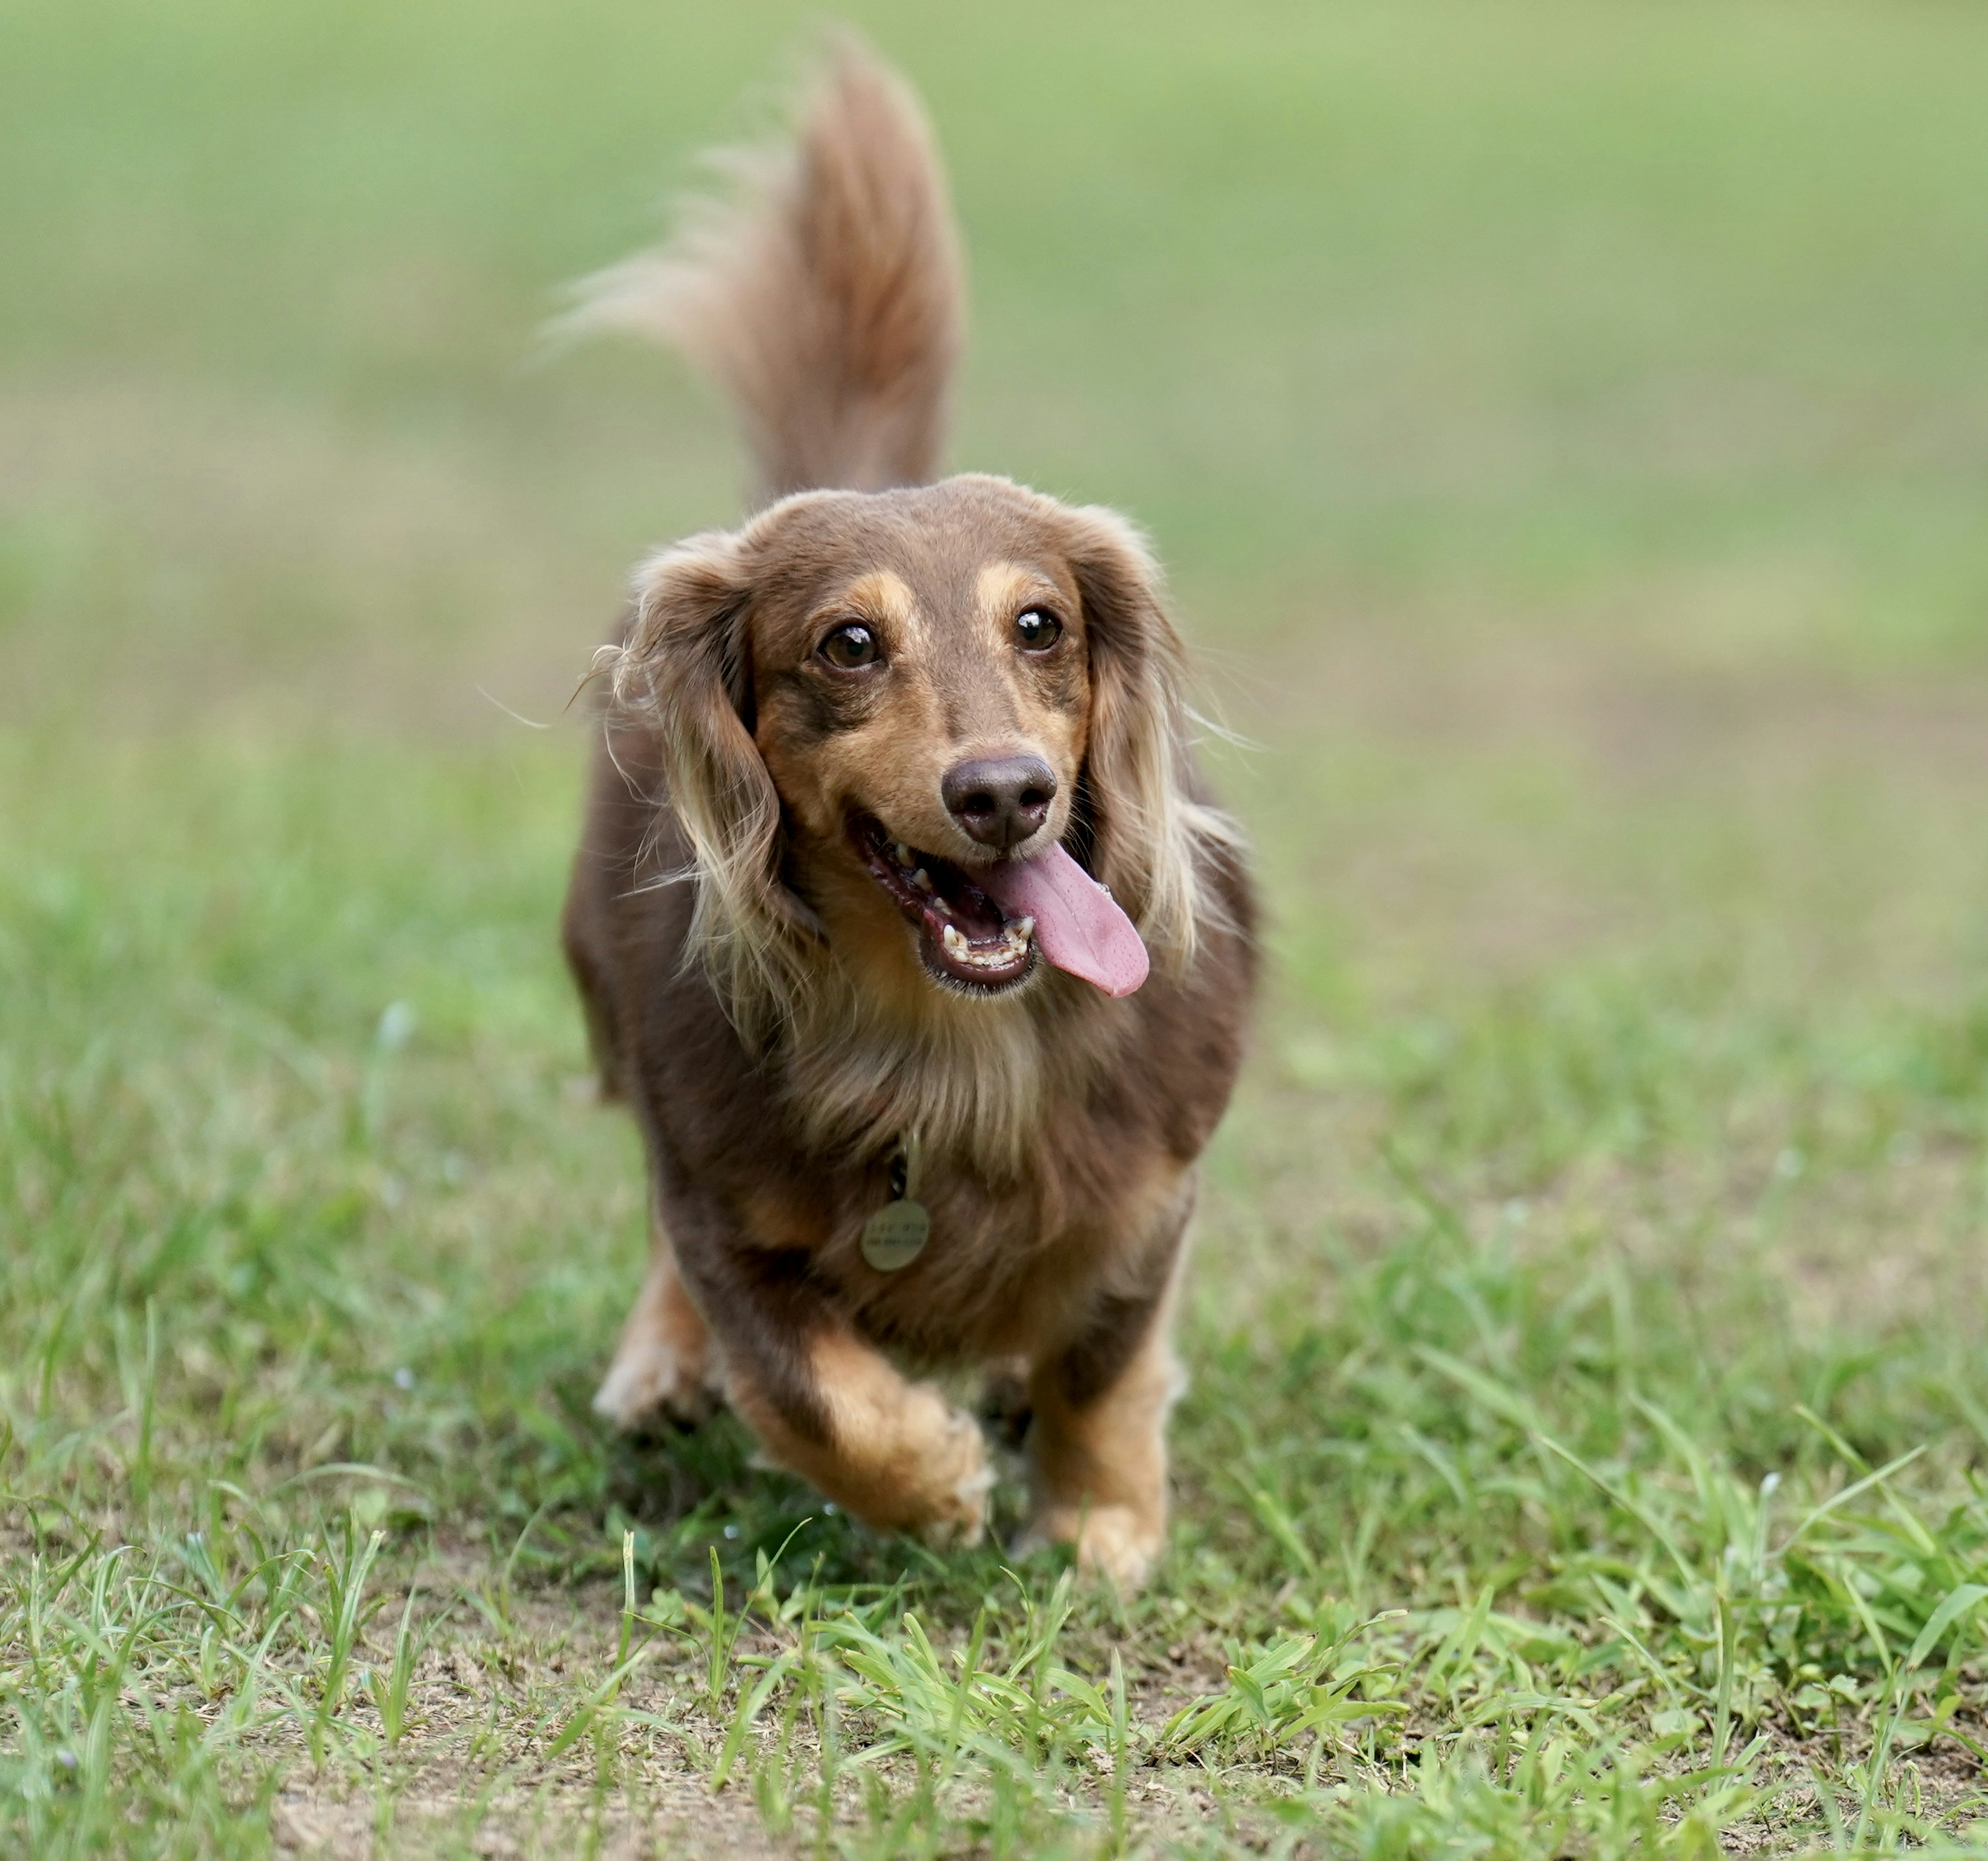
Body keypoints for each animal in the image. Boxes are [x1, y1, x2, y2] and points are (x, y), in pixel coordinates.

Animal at [557, 43, 1256, 1582]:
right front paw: (928, 1480)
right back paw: (659, 1366)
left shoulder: (1149, 1195)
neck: (949, 1048)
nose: (1005, 794)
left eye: (1041, 624)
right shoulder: (717, 1191)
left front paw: (1098, 1522)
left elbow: (1103, 1361)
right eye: (848, 645)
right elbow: (803, 1382)